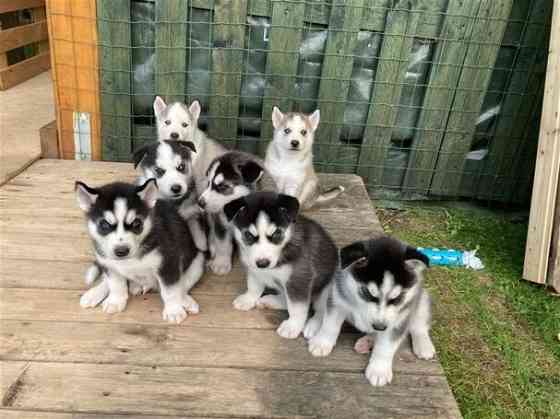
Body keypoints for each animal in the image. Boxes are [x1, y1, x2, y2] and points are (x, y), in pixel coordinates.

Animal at [222, 192, 336, 340]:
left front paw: (292, 326)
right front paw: (249, 299)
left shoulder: (299, 279)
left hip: (326, 289)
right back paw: (271, 301)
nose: (263, 263)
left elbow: (297, 307)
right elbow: (254, 286)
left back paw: (313, 325)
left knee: (321, 309)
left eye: (276, 234)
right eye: (248, 235)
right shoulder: (254, 270)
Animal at [306, 236, 434, 388]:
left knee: (419, 325)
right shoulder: (338, 299)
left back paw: (423, 345)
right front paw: (322, 343)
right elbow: (330, 325)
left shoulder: (399, 320)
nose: (380, 327)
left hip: (420, 299)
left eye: (396, 298)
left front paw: (379, 370)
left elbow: (386, 346)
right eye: (367, 293)